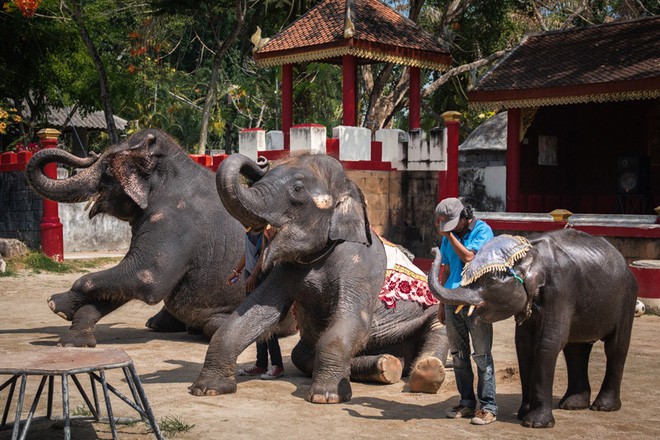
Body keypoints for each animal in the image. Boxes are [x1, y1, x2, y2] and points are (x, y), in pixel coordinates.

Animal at [25, 129, 253, 348]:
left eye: (107, 167)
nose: (91, 153)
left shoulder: (176, 222)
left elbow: (144, 276)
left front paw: (55, 304)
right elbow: (125, 281)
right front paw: (73, 341)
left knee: (213, 325)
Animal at [191, 153, 448, 404]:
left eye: (297, 188)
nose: (261, 160)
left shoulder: (360, 266)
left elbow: (353, 319)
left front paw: (326, 396)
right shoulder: (285, 270)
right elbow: (255, 311)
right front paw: (207, 389)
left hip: (429, 314)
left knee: (438, 328)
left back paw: (426, 372)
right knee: (301, 354)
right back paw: (386, 364)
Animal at [428, 229, 640, 428]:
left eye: (490, 281)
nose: (434, 248)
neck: (530, 254)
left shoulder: (561, 291)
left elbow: (548, 343)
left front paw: (535, 423)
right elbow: (523, 346)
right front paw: (523, 414)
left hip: (627, 298)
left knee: (616, 347)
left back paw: (603, 407)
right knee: (576, 349)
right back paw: (572, 405)